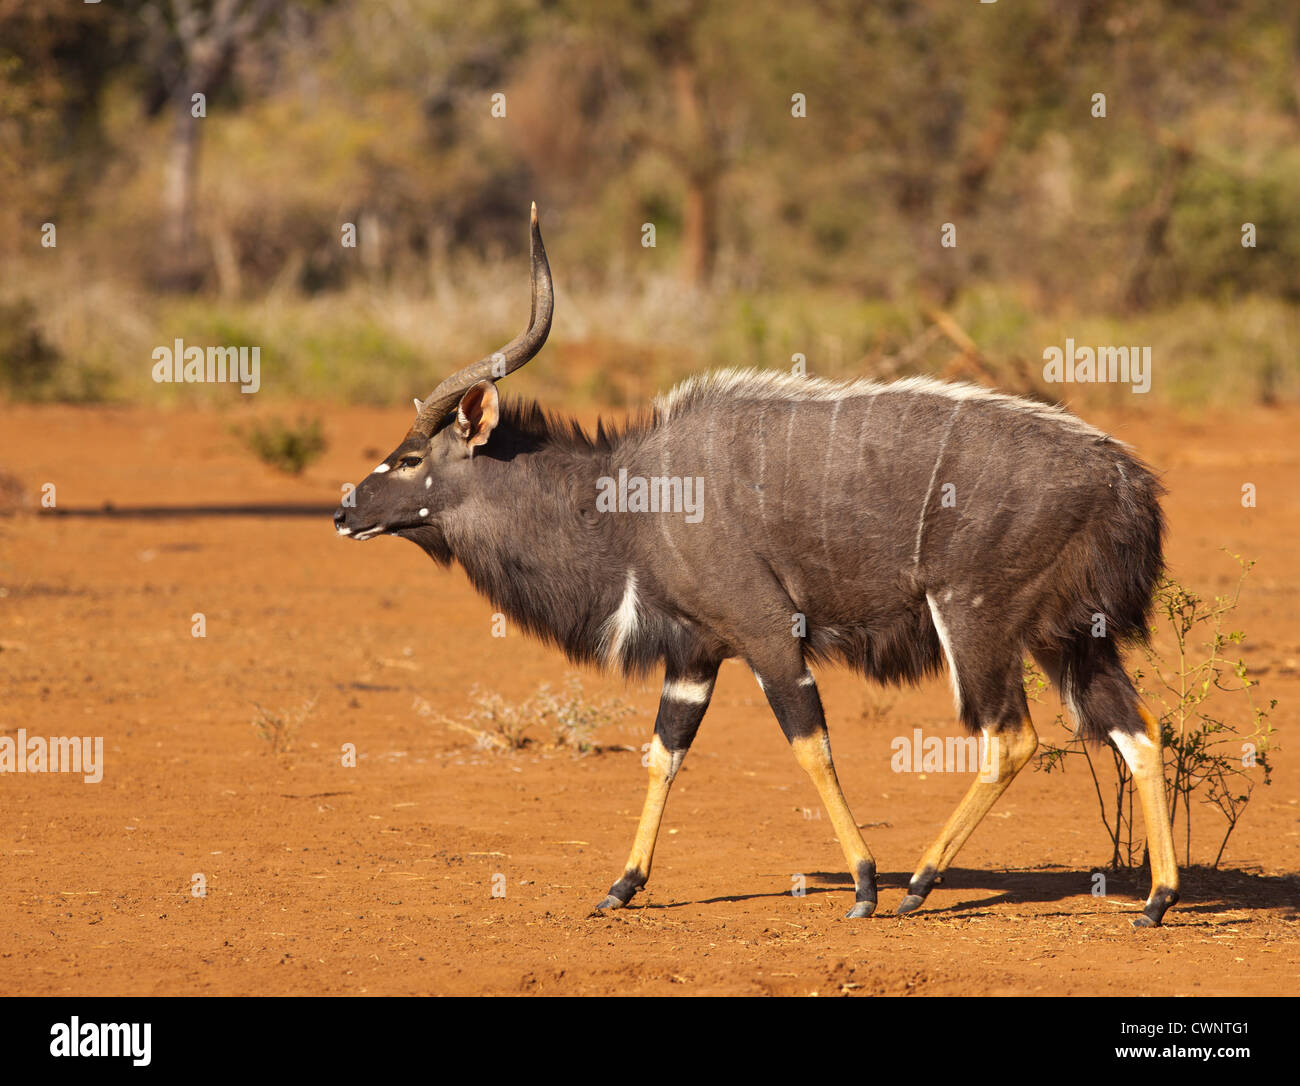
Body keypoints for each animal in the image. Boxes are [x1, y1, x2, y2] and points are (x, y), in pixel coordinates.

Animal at [332, 201, 1180, 926]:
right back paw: (1157, 898)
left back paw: (919, 884)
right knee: (1137, 727)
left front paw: (865, 885)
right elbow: (662, 753)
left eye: (409, 458)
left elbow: (809, 745)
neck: (628, 503)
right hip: (1068, 639)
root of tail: (1126, 479)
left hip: (977, 622)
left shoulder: (770, 635)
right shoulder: (695, 655)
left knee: (1010, 736)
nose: (343, 512)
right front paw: (621, 886)